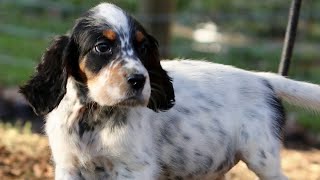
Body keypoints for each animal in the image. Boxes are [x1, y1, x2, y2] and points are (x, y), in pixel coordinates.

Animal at [20, 2, 320, 180]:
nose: (139, 80)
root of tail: (261, 78)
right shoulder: (69, 167)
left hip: (263, 157)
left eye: (143, 48)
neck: (95, 116)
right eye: (102, 47)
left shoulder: (135, 169)